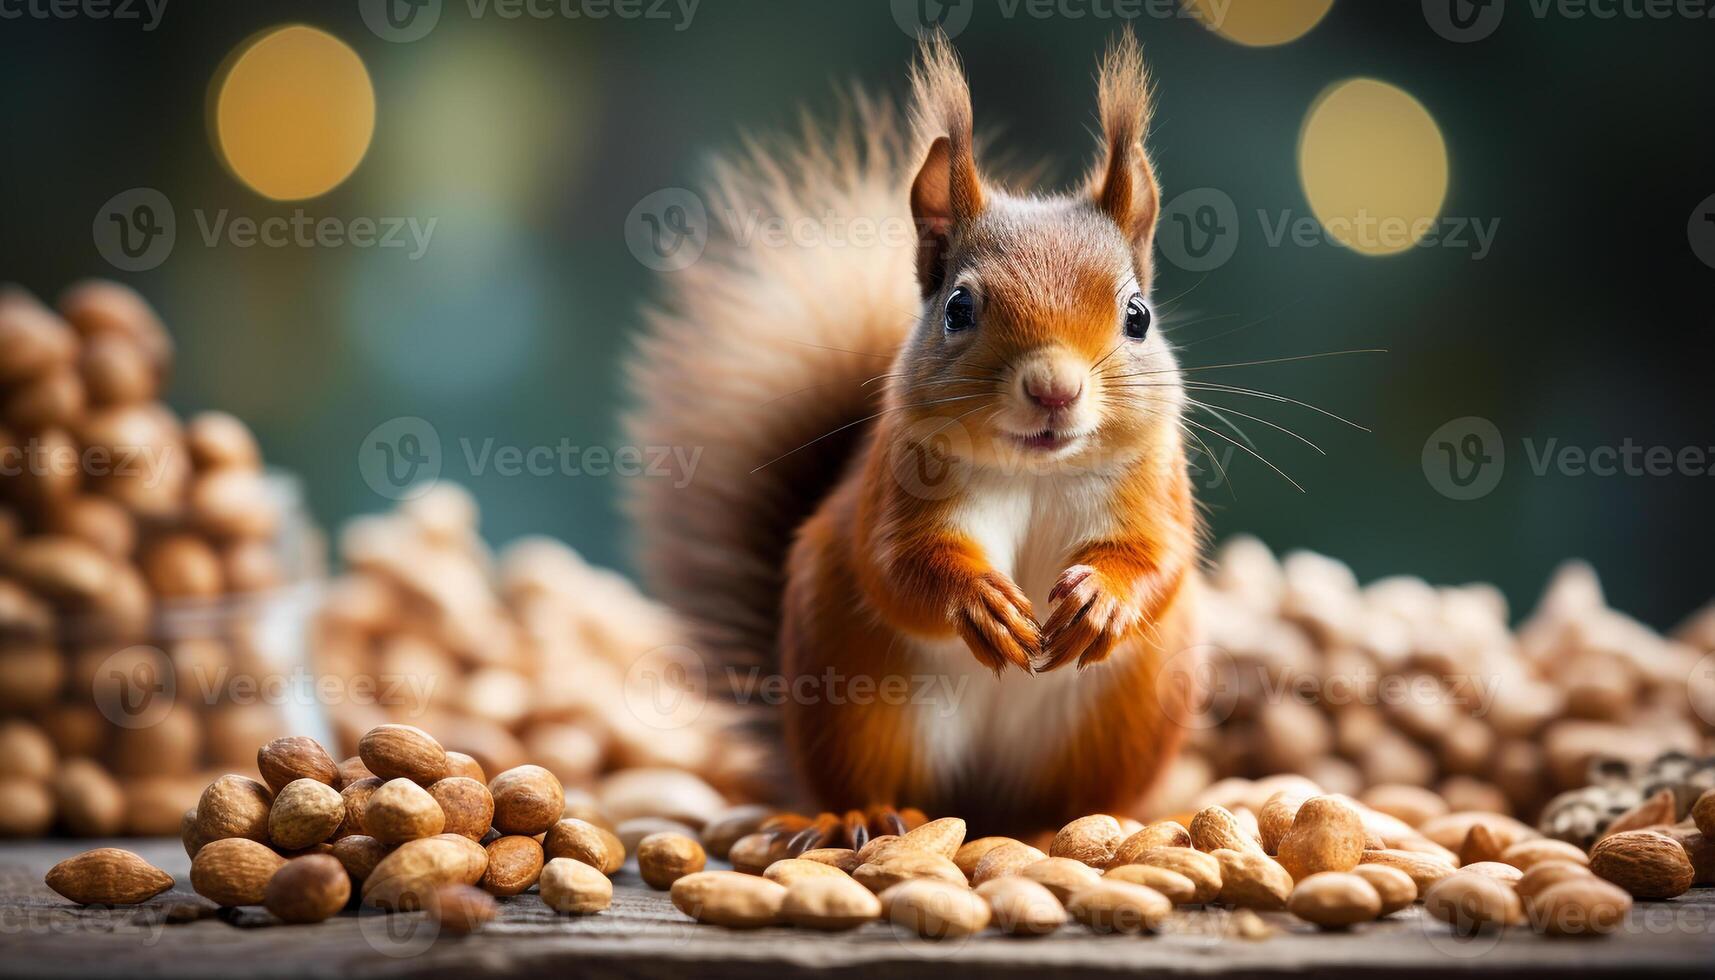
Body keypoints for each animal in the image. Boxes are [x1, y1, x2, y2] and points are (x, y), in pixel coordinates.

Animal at [624, 34, 1200, 840]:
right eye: (958, 307)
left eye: (1138, 315)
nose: (1054, 389)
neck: (1033, 472)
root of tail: (982, 809)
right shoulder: (895, 486)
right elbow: (896, 565)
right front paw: (981, 603)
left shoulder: (1153, 483)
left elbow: (1158, 557)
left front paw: (1102, 601)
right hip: (860, 701)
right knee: (868, 774)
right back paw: (861, 817)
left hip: (1125, 714)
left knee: (1074, 800)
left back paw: (1077, 827)